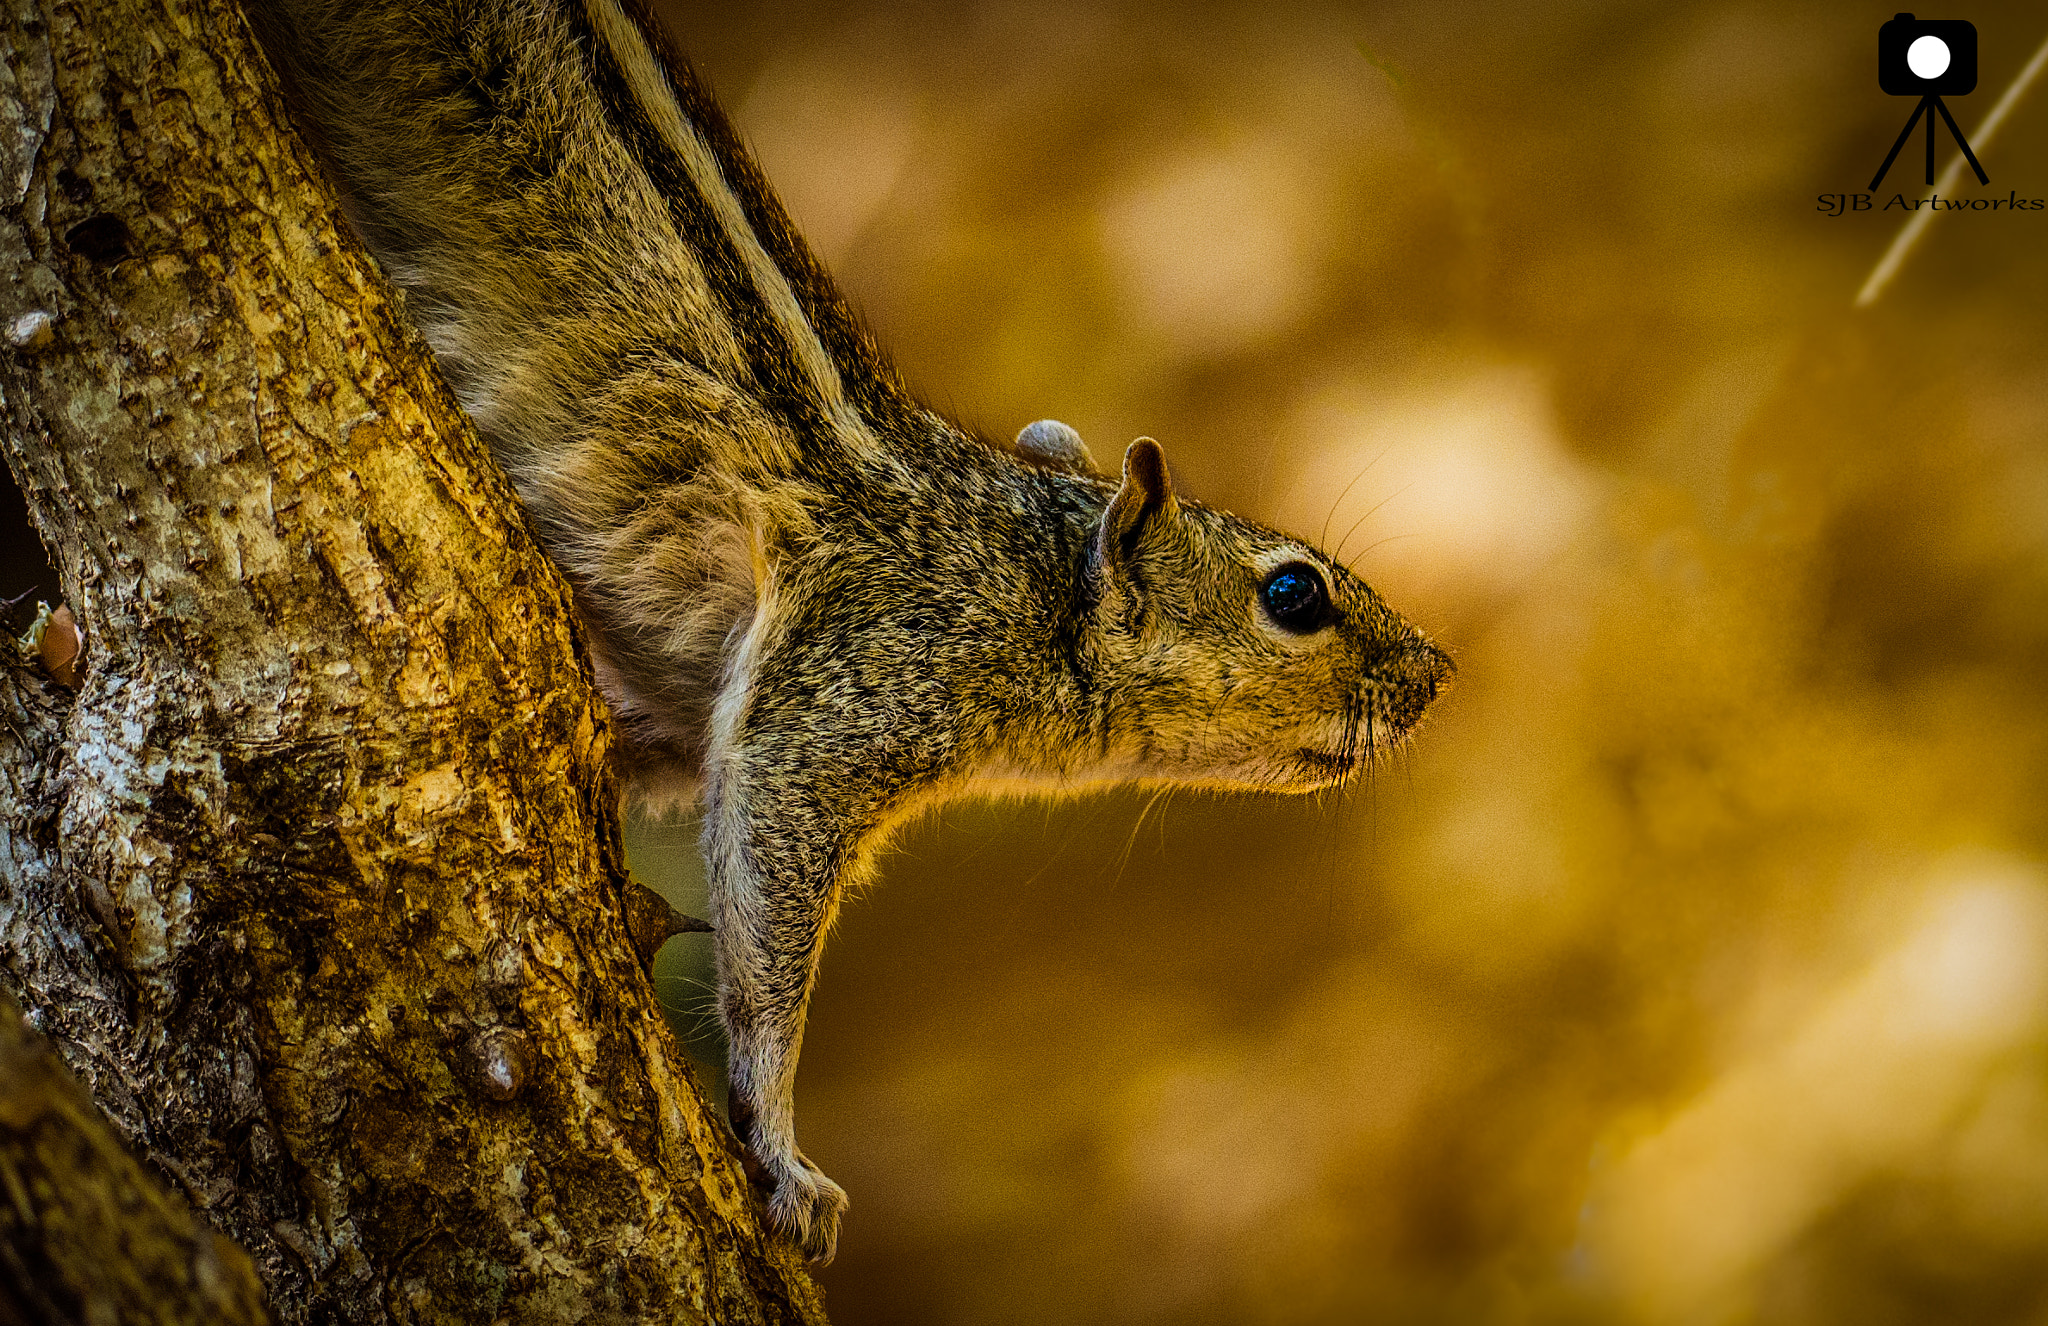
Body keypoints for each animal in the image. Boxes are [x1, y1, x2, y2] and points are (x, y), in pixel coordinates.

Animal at [243, 0, 1458, 1262]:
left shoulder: (691, 712)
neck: (1015, 582)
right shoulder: (833, 702)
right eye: (1294, 596)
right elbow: (766, 946)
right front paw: (783, 1153)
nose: (1438, 674)